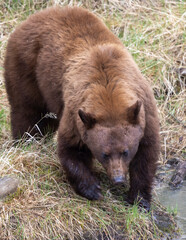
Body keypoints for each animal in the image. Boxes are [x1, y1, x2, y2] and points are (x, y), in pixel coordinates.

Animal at [4, 6, 160, 209]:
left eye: (125, 151)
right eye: (104, 154)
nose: (118, 179)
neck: (109, 94)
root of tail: (33, 17)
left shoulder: (145, 113)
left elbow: (146, 155)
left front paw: (139, 199)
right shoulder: (76, 114)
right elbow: (71, 150)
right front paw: (93, 189)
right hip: (25, 66)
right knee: (25, 110)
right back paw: (26, 141)